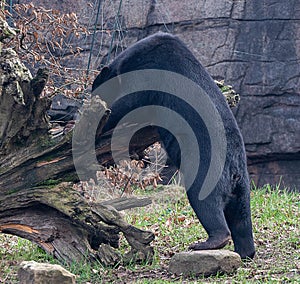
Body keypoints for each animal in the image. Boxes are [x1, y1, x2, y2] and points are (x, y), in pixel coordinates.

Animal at [92, 31, 255, 260]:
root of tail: (234, 170)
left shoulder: (148, 69)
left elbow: (126, 104)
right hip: (242, 188)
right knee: (241, 217)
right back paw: (245, 251)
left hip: (208, 168)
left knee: (204, 200)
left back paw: (207, 242)